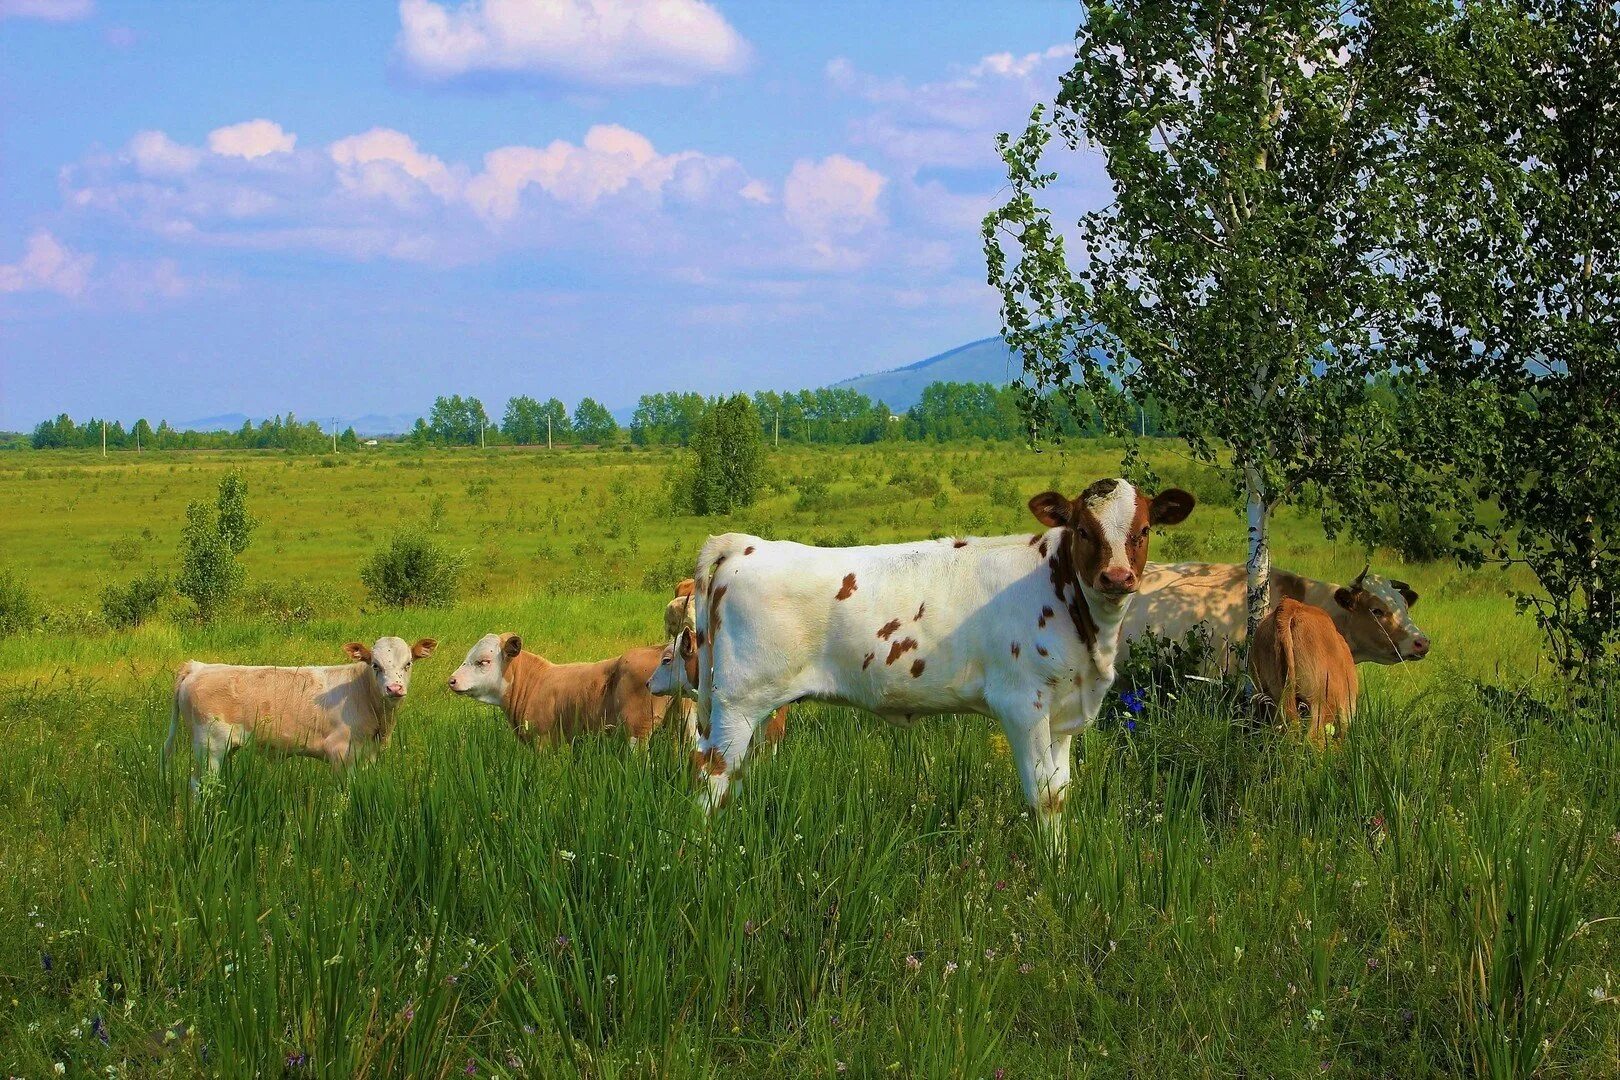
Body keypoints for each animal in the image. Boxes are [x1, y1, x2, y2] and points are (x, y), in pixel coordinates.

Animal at [690, 476, 1198, 835]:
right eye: (1083, 529)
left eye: (1144, 530)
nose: (1117, 577)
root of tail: (748, 544)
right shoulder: (1022, 704)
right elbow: (1040, 796)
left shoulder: (1064, 712)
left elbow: (1059, 794)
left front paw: (1062, 863)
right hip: (737, 701)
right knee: (711, 776)